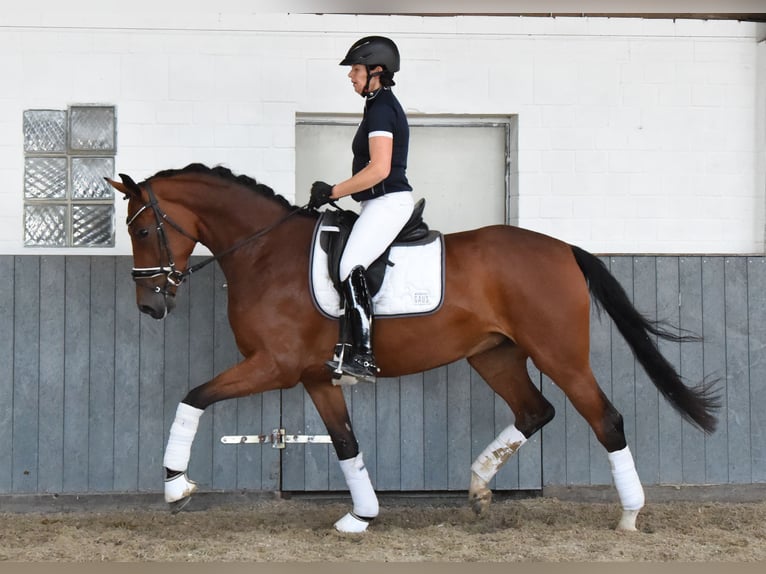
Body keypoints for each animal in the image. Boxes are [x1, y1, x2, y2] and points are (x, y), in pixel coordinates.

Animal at [106, 164, 720, 532]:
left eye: (142, 229)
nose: (149, 306)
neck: (264, 253)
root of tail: (564, 248)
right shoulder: (315, 376)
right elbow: (346, 443)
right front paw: (362, 515)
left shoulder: (273, 366)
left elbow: (193, 397)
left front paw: (176, 487)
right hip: (494, 354)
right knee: (534, 410)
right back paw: (478, 488)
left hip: (560, 356)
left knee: (605, 418)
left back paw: (629, 516)